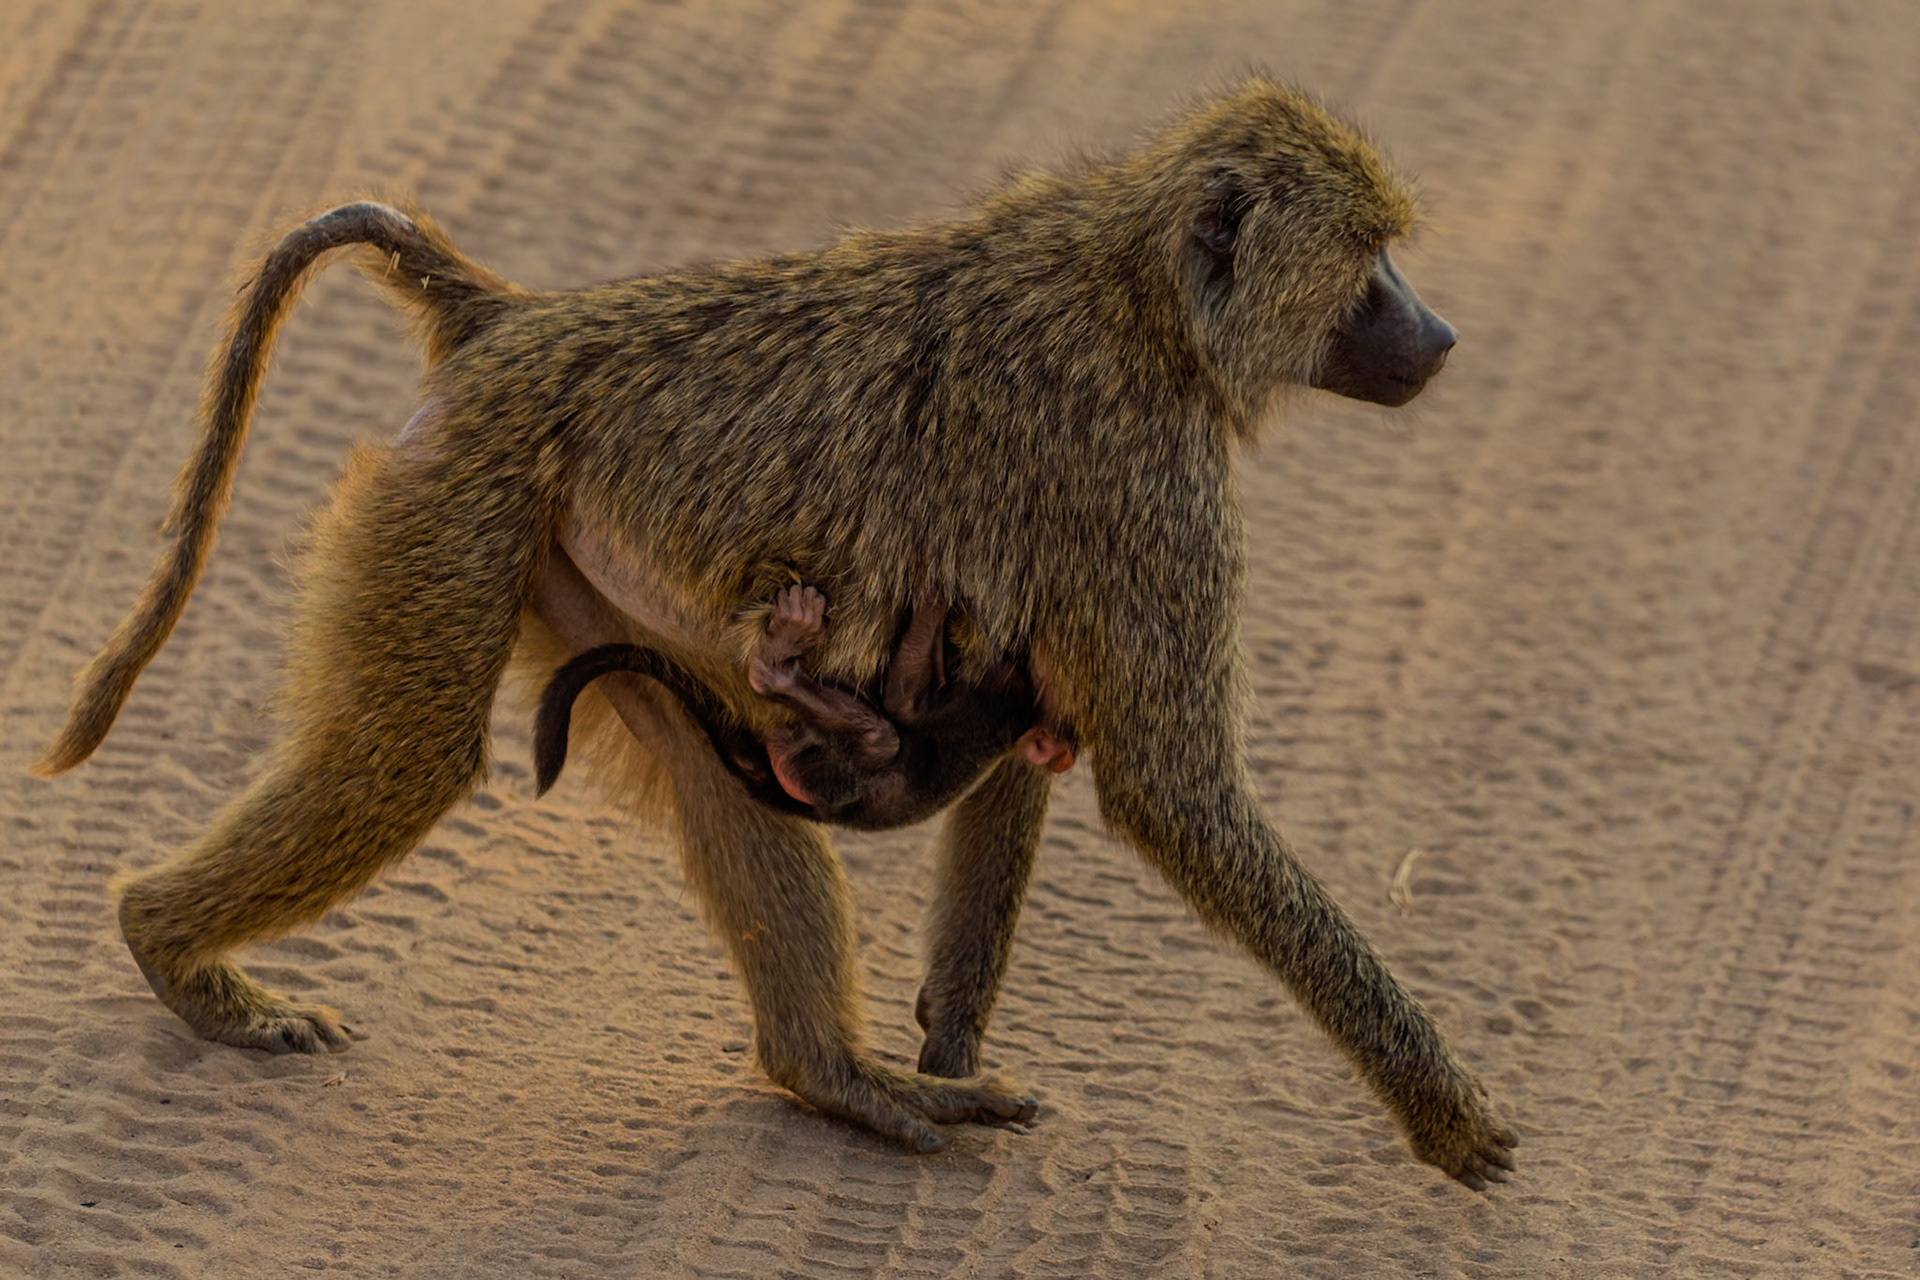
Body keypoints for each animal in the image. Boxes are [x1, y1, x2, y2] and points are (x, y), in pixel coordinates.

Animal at [534, 583, 1074, 829]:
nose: (1019, 660)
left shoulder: (990, 700)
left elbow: (902, 697)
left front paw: (932, 598)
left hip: (824, 774)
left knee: (883, 739)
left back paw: (775, 665)